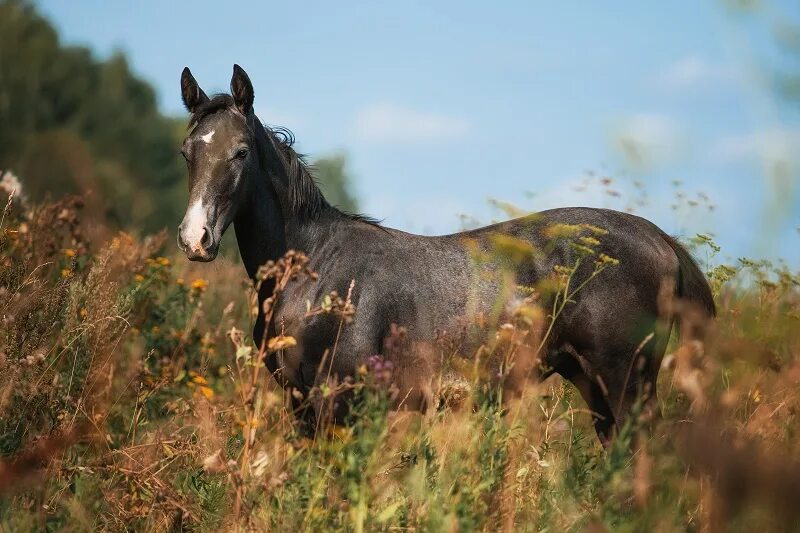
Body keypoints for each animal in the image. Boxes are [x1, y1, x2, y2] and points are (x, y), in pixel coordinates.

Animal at [175, 64, 712, 442]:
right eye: (187, 152)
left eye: (241, 152)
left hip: (625, 383)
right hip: (593, 384)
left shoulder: (339, 402)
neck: (315, 270)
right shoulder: (303, 404)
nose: (196, 238)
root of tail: (659, 237)